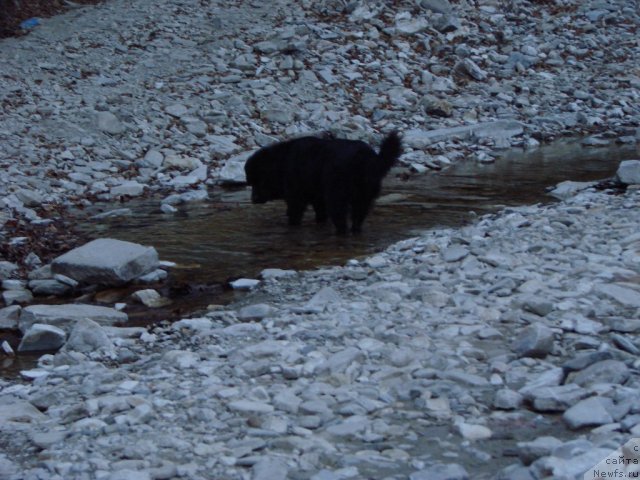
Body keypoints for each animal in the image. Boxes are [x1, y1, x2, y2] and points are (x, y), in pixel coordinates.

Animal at [244, 132, 400, 235]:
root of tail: (366, 159)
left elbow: (294, 214)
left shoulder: (296, 197)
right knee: (358, 217)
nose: (253, 199)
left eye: (259, 180)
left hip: (337, 196)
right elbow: (321, 214)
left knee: (340, 218)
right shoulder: (317, 199)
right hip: (363, 197)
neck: (282, 163)